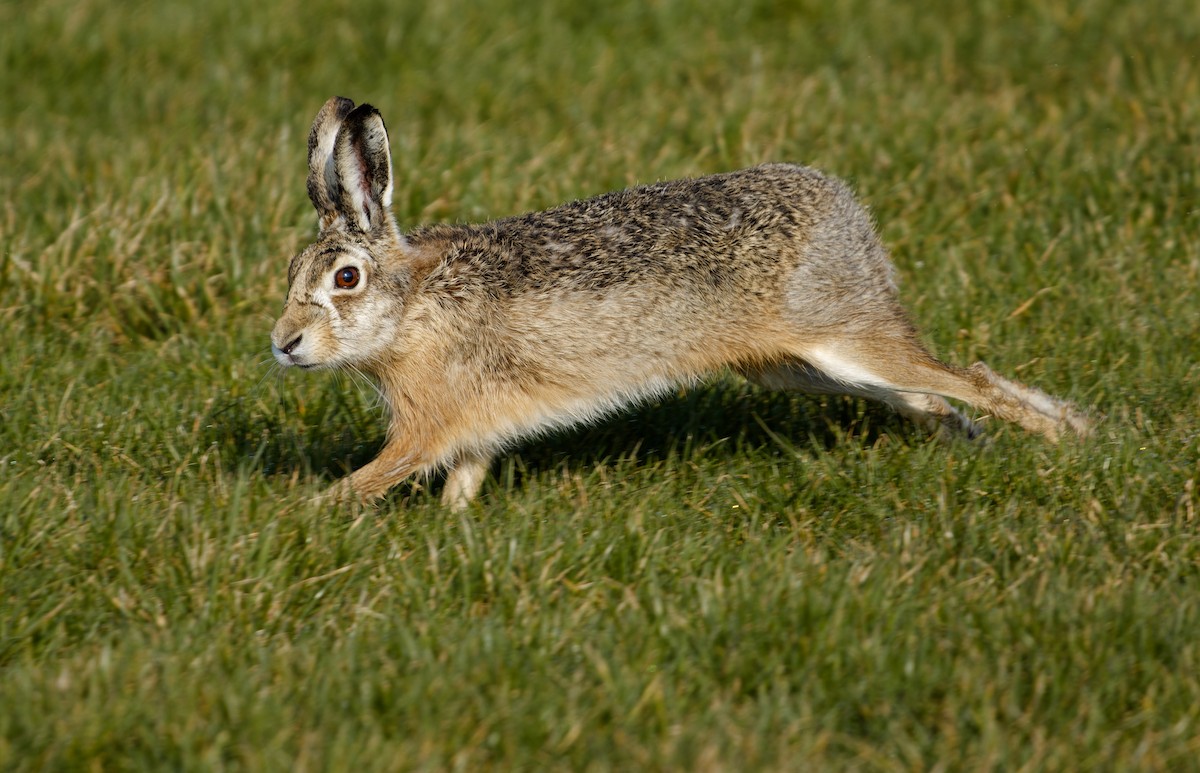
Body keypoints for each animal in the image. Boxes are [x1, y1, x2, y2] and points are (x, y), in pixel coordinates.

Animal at [270, 96, 1092, 509]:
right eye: (291, 272)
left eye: (345, 279)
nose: (284, 343)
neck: (411, 308)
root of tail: (847, 214)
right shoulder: (472, 426)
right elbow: (465, 480)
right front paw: (457, 530)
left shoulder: (427, 425)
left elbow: (376, 476)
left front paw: (300, 519)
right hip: (806, 365)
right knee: (928, 397)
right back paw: (990, 442)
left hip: (845, 337)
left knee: (969, 378)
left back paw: (1074, 438)